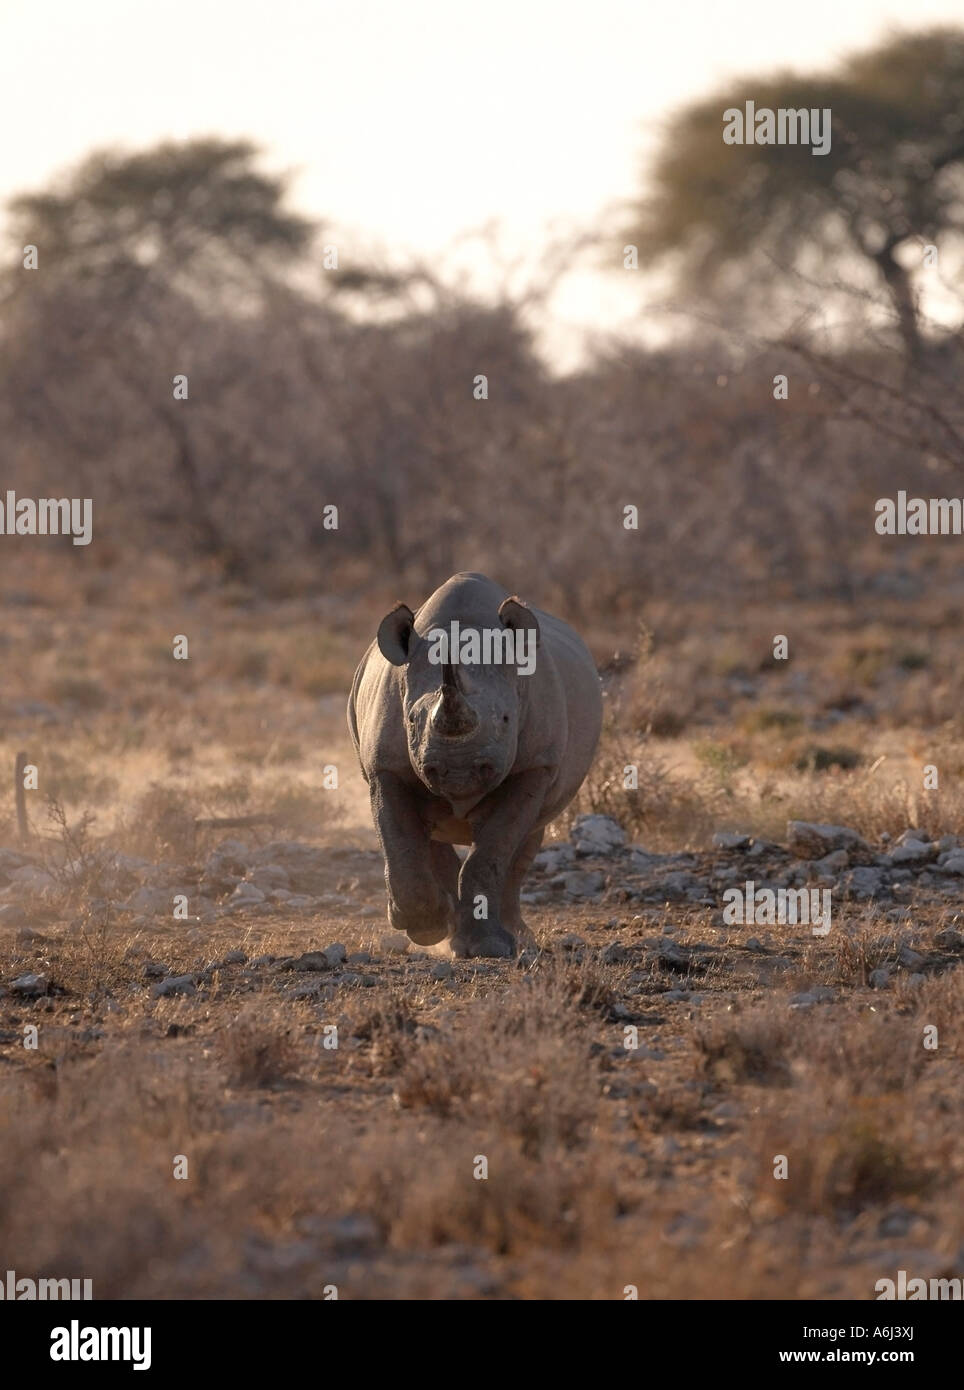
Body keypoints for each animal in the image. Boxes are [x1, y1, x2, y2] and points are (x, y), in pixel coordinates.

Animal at [348, 572, 602, 957]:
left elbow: (492, 851)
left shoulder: (534, 767)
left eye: (507, 719)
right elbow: (400, 839)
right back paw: (446, 927)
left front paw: (488, 947)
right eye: (411, 720)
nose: (458, 772)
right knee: (429, 834)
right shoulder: (385, 767)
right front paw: (424, 927)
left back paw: (516, 937)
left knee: (527, 839)